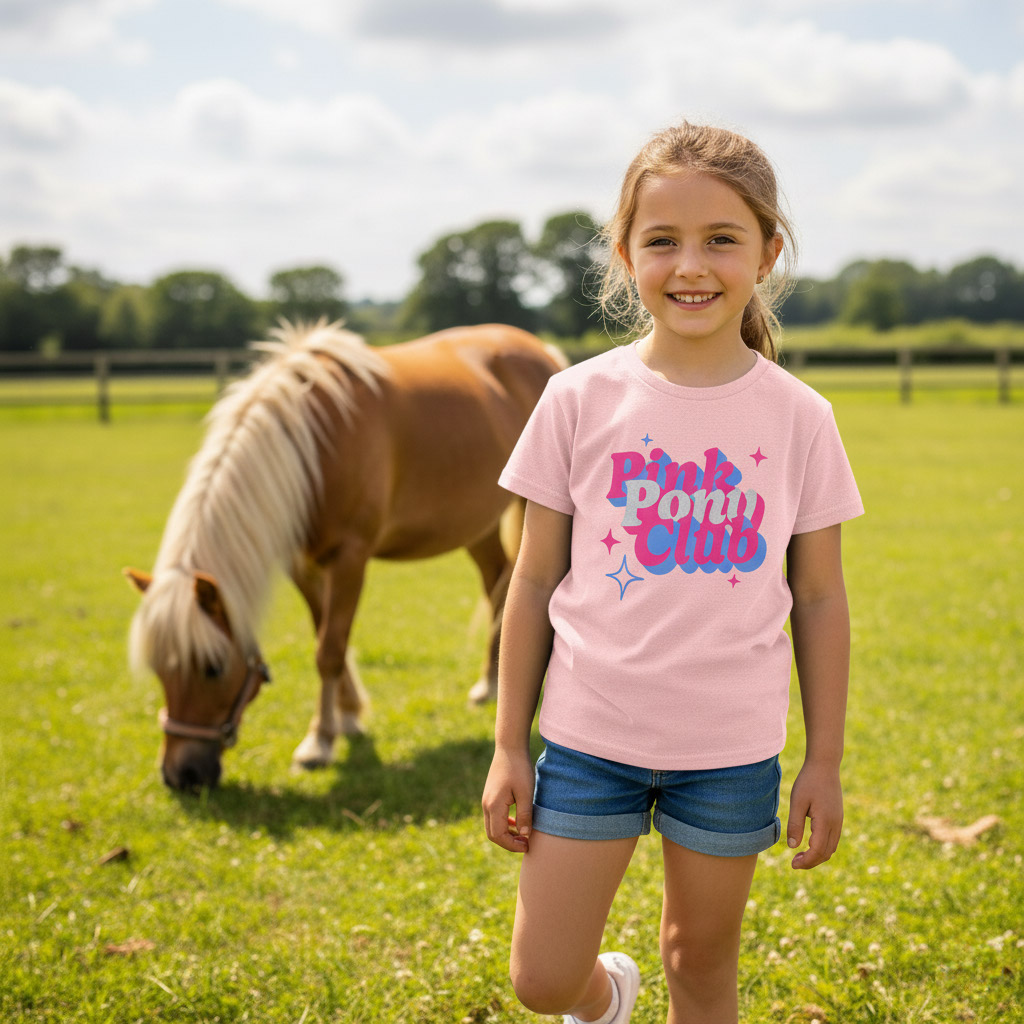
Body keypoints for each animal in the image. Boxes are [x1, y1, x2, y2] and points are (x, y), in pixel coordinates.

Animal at [125, 320, 566, 791]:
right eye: (158, 669)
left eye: (212, 667)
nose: (180, 775)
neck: (312, 445)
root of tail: (540, 349)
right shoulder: (302, 565)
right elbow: (326, 635)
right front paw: (348, 717)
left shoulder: (350, 559)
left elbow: (330, 650)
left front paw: (318, 742)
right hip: (474, 525)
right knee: (497, 583)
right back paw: (489, 685)